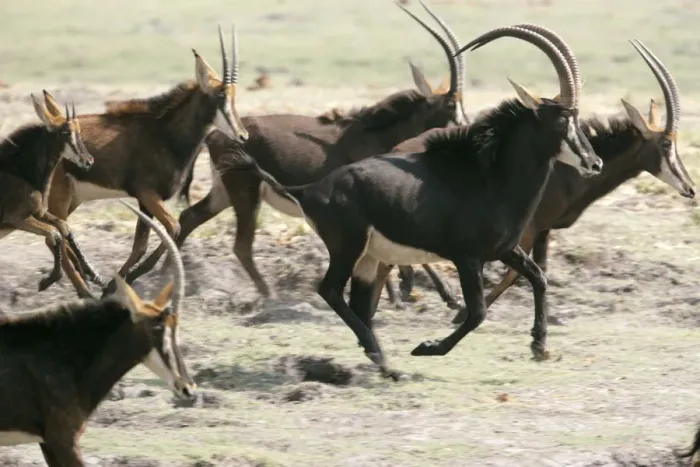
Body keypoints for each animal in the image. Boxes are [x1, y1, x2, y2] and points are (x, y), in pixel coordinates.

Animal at [0, 91, 98, 297]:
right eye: (66, 133)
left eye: (79, 130)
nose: (88, 160)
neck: (20, 172)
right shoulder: (16, 218)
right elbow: (55, 233)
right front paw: (48, 279)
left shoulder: (40, 213)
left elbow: (63, 228)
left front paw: (91, 273)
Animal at [44, 25, 248, 298]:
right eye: (220, 96)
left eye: (234, 97)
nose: (243, 135)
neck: (165, 134)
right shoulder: (146, 193)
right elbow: (173, 228)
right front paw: (122, 281)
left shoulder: (146, 200)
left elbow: (142, 245)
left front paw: (115, 284)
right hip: (59, 196)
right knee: (55, 233)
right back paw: (84, 289)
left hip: (71, 199)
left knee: (55, 234)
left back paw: (87, 278)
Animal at [123, 1, 471, 304]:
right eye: (450, 104)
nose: (465, 128)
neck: (376, 133)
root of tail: (217, 133)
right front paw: (431, 294)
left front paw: (418, 292)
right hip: (246, 192)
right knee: (241, 246)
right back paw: (266, 295)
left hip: (224, 192)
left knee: (189, 217)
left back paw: (158, 274)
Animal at [229, 24, 602, 379]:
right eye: (562, 118)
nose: (594, 162)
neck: (490, 175)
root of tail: (309, 189)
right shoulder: (467, 258)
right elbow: (477, 313)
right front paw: (428, 347)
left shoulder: (505, 249)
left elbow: (538, 277)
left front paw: (540, 346)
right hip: (348, 247)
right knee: (330, 291)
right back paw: (385, 360)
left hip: (367, 258)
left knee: (359, 304)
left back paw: (382, 364)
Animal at [449, 39, 695, 324]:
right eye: (666, 143)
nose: (690, 189)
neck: (568, 173)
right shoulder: (527, 229)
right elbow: (514, 274)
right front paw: (462, 314)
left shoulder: (543, 230)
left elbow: (538, 269)